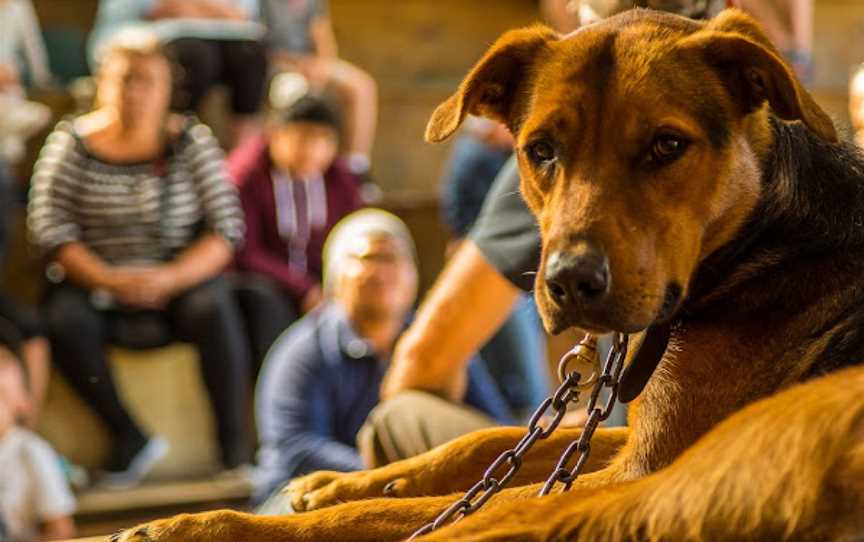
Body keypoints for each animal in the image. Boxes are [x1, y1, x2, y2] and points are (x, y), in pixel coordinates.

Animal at [116, 8, 864, 542]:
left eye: (668, 145)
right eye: (541, 150)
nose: (570, 283)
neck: (759, 234)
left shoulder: (649, 466)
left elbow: (433, 511)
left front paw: (209, 526)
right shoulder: (628, 442)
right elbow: (486, 441)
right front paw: (349, 483)